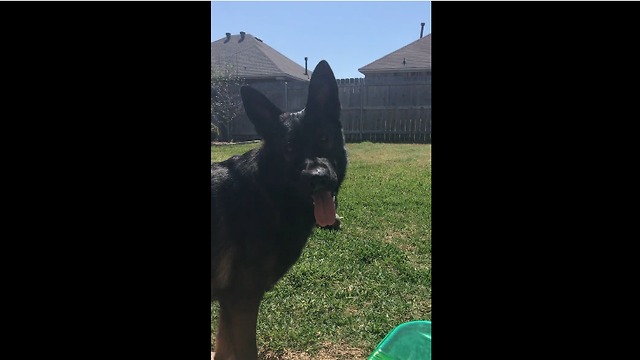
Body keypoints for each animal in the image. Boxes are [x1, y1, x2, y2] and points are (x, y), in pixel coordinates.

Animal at [211, 60, 348, 358]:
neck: (267, 191)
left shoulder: (230, 304)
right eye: (289, 148)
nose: (317, 177)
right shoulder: (242, 301)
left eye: (324, 137)